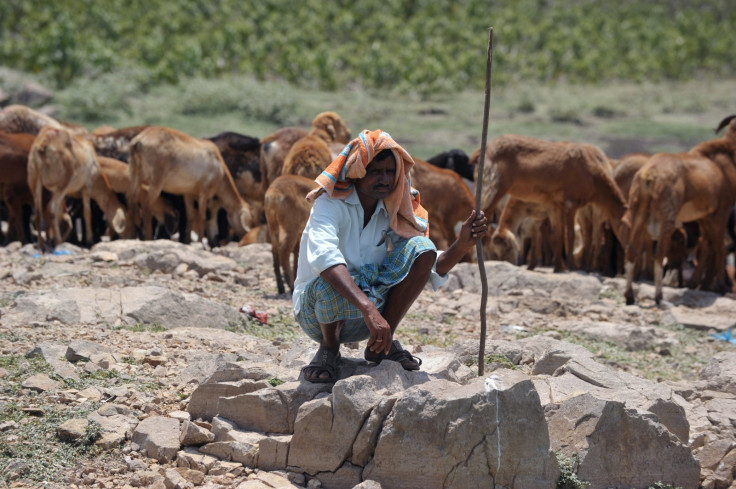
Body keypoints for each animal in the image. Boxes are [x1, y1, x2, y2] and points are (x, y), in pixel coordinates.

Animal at [472, 134, 628, 270]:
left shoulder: (557, 206)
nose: (629, 247)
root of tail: (486, 150)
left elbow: (558, 234)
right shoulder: (570, 205)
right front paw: (571, 266)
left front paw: (559, 267)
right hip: (494, 187)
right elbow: (569, 234)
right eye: (627, 225)